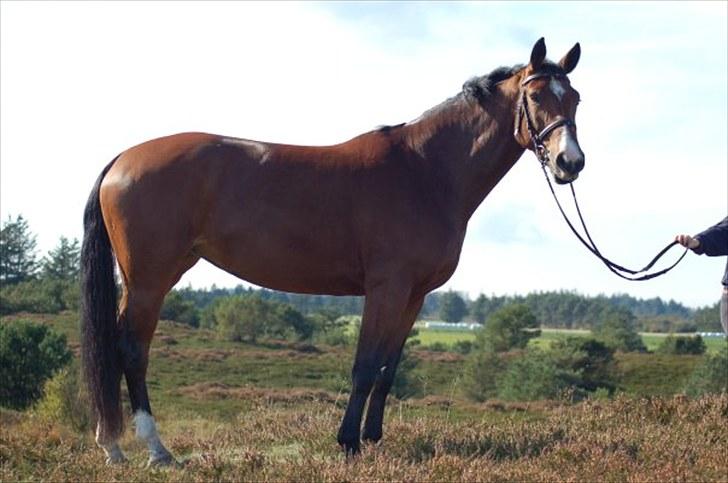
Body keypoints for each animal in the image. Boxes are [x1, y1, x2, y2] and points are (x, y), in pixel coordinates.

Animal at [79, 38, 584, 466]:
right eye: (536, 96)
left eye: (575, 98)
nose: (570, 162)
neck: (425, 172)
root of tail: (122, 159)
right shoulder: (385, 288)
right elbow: (364, 366)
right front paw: (348, 443)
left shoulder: (414, 295)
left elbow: (388, 367)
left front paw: (373, 438)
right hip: (150, 280)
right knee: (131, 350)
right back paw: (154, 449)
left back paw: (114, 445)